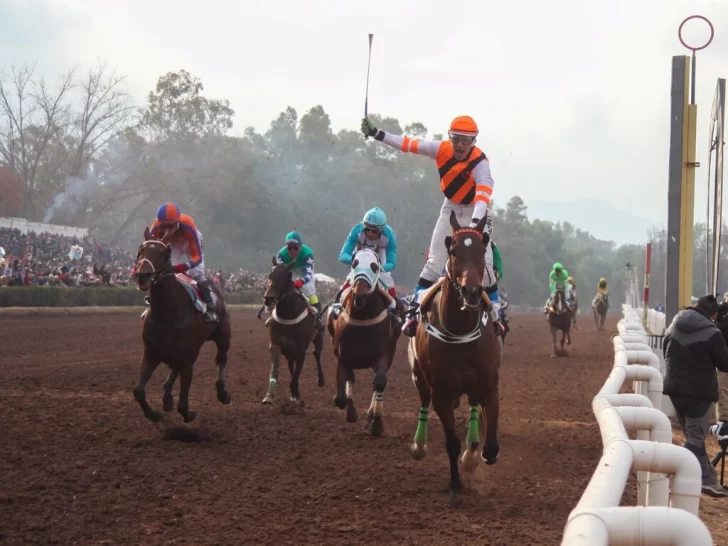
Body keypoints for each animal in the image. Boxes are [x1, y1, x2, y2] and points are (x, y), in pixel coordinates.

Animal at [132, 225, 230, 420]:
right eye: (141, 251)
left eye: (164, 253)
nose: (142, 275)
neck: (167, 316)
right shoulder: (151, 353)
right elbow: (138, 390)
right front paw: (154, 414)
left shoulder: (188, 358)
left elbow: (183, 404)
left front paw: (188, 414)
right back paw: (167, 397)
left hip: (224, 336)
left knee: (222, 359)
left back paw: (222, 392)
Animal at [258, 258, 322, 410]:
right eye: (270, 274)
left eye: (286, 277)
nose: (268, 298)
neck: (288, 315)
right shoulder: (276, 344)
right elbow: (276, 370)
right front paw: (269, 396)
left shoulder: (300, 351)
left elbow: (295, 378)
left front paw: (294, 400)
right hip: (288, 351)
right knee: (290, 365)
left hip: (318, 338)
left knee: (317, 354)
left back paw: (320, 380)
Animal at [328, 249, 406, 436]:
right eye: (354, 263)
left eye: (374, 266)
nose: (360, 296)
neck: (362, 317)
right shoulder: (342, 355)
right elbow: (340, 397)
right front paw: (350, 412)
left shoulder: (383, 354)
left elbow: (379, 382)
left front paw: (376, 423)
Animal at [406, 211, 504, 502]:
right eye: (453, 250)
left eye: (482, 249)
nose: (471, 292)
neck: (459, 330)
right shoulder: (441, 390)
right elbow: (451, 441)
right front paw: (455, 483)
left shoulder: (488, 382)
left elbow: (490, 439)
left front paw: (478, 456)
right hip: (420, 378)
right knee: (424, 402)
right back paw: (419, 445)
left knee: (472, 407)